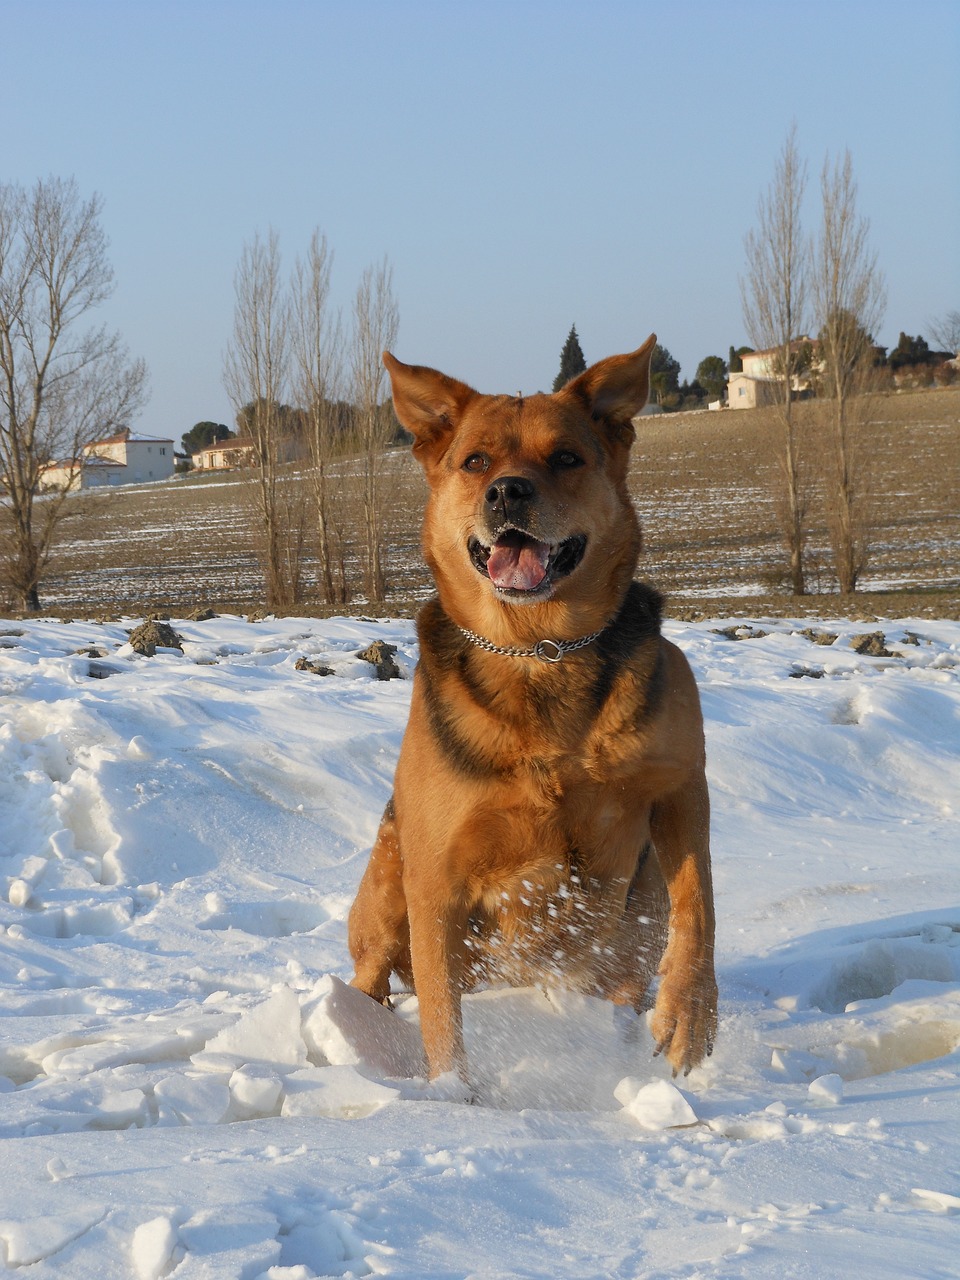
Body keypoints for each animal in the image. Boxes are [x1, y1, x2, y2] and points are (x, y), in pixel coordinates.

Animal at [350, 335, 716, 1085]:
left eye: (566, 457)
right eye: (476, 461)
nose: (508, 491)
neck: (538, 649)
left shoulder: (679, 786)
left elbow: (699, 904)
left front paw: (690, 1015)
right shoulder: (437, 879)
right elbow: (443, 1023)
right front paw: (454, 1097)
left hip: (638, 902)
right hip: (387, 879)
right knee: (373, 971)